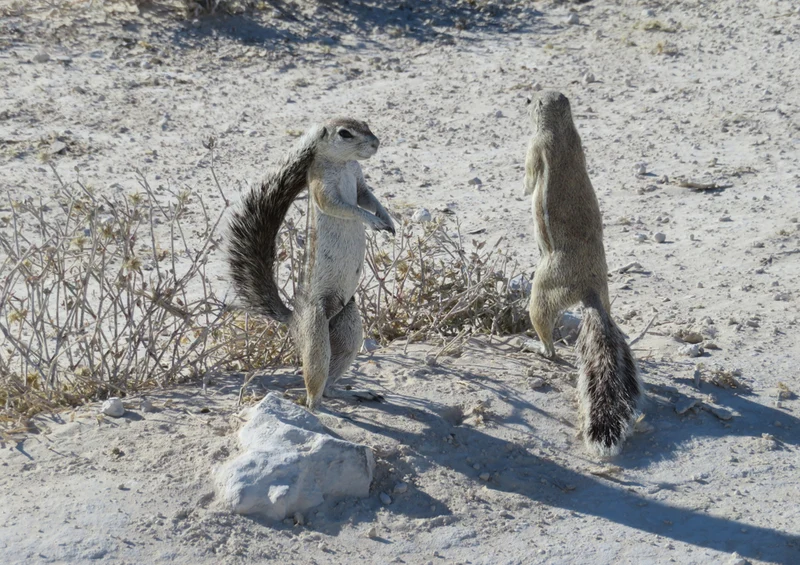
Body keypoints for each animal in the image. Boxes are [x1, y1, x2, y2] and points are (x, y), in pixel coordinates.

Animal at [226, 118, 395, 410]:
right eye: (345, 133)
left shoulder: (360, 182)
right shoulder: (321, 188)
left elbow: (368, 198)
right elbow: (347, 207)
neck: (344, 164)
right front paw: (372, 220)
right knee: (315, 383)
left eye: (366, 124)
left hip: (349, 328)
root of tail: (293, 319)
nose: (376, 143)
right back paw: (316, 406)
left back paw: (353, 394)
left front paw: (387, 218)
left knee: (330, 382)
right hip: (316, 332)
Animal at [523, 91, 642, 456]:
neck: (562, 128)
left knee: (545, 329)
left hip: (544, 287)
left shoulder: (536, 145)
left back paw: (537, 348)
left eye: (534, 99)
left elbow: (529, 179)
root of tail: (590, 292)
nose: (526, 99)